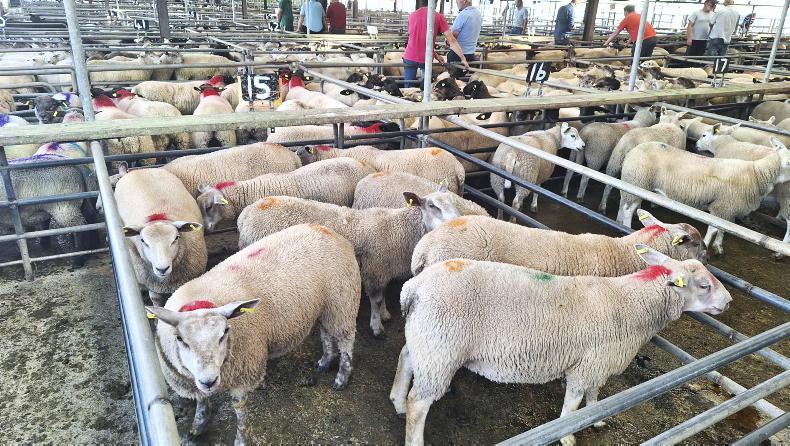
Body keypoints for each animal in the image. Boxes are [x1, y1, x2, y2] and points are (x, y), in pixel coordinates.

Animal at [115, 168, 207, 305]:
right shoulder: (153, 285)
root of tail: (141, 169)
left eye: (176, 238)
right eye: (143, 241)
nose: (162, 269)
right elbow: (156, 300)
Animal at [146, 223, 360, 445]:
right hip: (325, 307)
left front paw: (241, 438)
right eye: (180, 339)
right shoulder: (194, 382)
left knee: (346, 341)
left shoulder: (243, 372)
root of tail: (324, 229)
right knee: (326, 333)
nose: (209, 381)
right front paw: (197, 427)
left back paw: (342, 377)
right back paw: (325, 361)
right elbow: (202, 402)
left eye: (224, 333)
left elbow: (240, 412)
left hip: (342, 301)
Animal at [237, 191, 461, 337]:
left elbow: (383, 294)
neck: (399, 227)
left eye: (453, 202)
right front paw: (377, 326)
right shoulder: (374, 268)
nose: (457, 221)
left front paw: (385, 314)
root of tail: (246, 214)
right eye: (432, 205)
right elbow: (376, 299)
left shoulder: (382, 269)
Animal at [392, 246, 731, 446]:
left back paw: (397, 400)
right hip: (441, 348)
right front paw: (568, 436)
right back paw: (413, 433)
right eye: (704, 285)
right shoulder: (586, 366)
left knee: (406, 356)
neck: (631, 303)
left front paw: (597, 419)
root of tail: (414, 287)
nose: (728, 301)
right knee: (419, 402)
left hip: (428, 339)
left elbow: (595, 397)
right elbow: (572, 405)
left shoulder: (598, 364)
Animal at [617, 139, 790, 255]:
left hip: (631, 181)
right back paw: (627, 228)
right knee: (628, 209)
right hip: (638, 182)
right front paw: (706, 244)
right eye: (788, 162)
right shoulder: (721, 206)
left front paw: (718, 246)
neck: (756, 175)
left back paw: (618, 221)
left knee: (623, 203)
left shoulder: (727, 209)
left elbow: (723, 228)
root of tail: (633, 151)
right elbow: (713, 229)